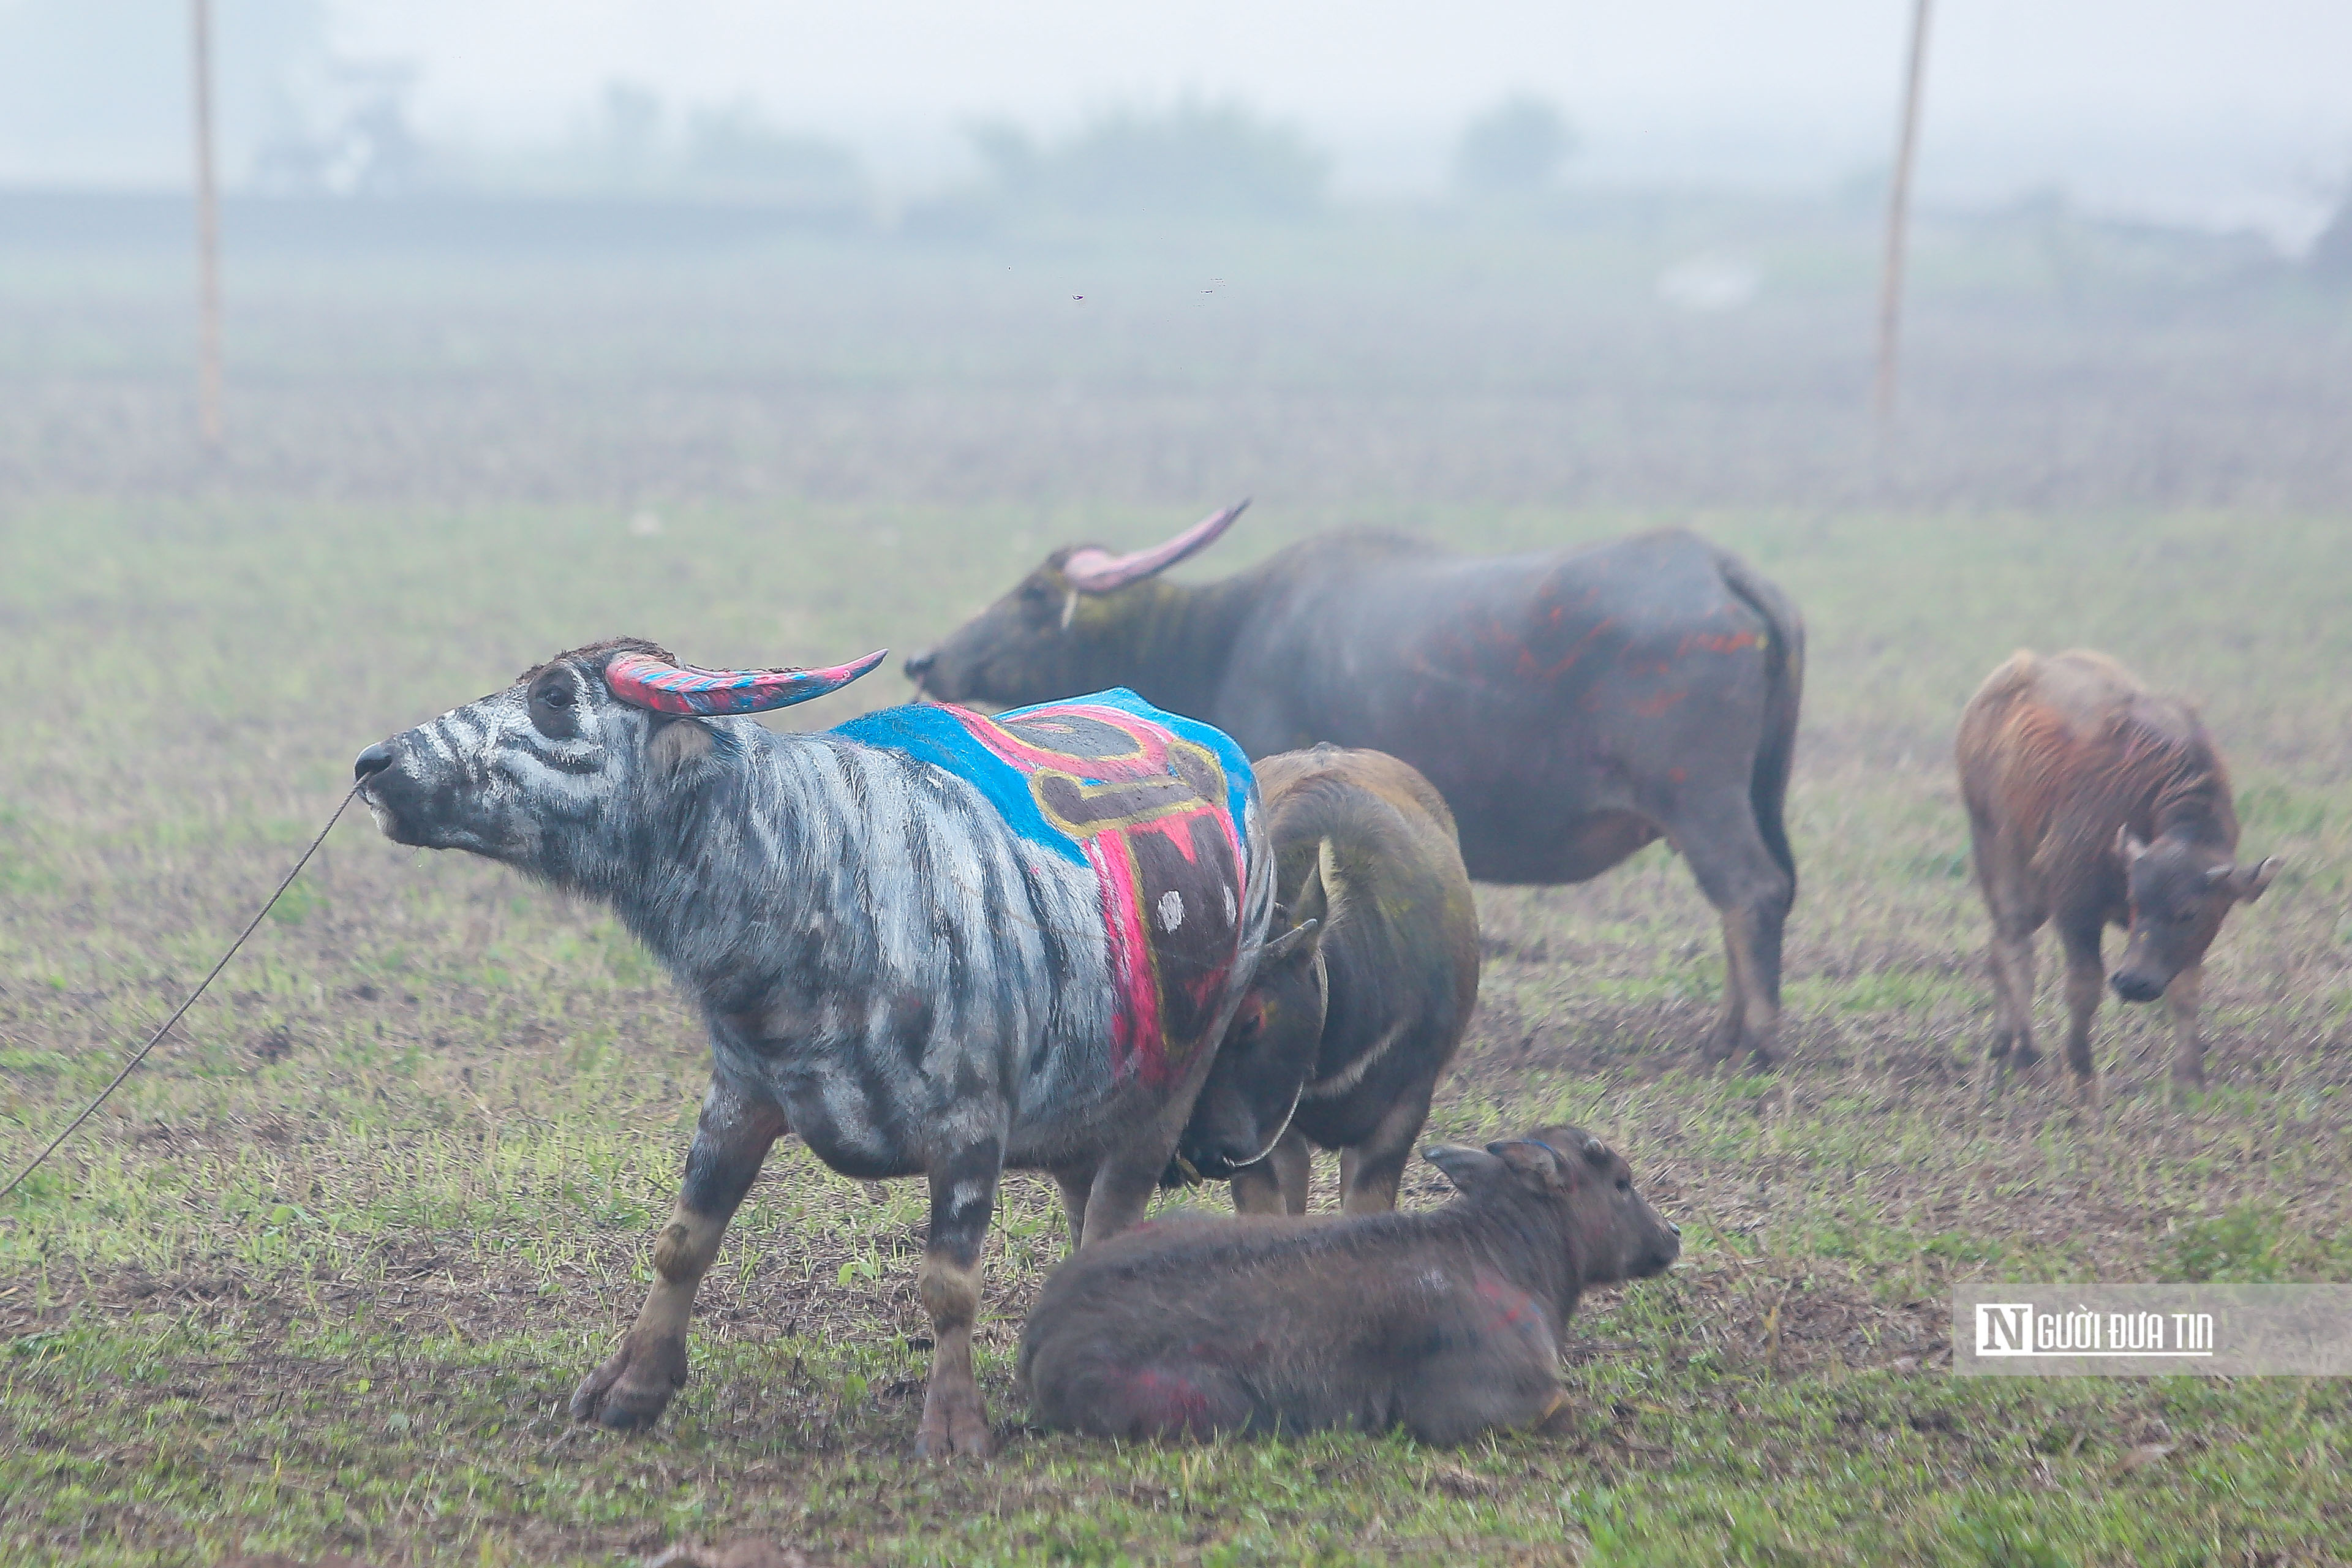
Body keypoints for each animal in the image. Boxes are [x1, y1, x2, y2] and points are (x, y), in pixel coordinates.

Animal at [350, 639, 1270, 1457]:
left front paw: (953, 1426)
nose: (374, 763)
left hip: (1181, 1080)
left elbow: (948, 1288)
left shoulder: (972, 1128)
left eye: (553, 697)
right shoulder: (739, 1094)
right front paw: (633, 1384)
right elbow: (683, 1242)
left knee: (1124, 1215)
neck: (816, 874)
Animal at [908, 510, 1806, 1072]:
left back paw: (1755, 1042)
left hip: (1699, 797)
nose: (925, 658)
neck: (1222, 635)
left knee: (1749, 890)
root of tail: (1723, 572)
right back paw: (1730, 1031)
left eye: (1033, 595)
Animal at [1020, 1128, 1684, 1448]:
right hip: (1220, 1408)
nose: (1673, 1233)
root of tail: (1043, 1325)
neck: (1510, 1256)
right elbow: (1571, 1410)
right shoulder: (1480, 1408)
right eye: (1621, 1182)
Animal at [1966, 649, 2277, 1104]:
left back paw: (2002, 1045)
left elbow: (2186, 991)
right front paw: (2081, 1072)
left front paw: (2189, 1078)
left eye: (2189, 913)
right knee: (2015, 947)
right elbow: (2085, 984)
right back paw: (2025, 1053)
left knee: (1995, 946)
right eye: (2134, 901)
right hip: (1999, 854)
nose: (2132, 983)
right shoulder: (2075, 900)